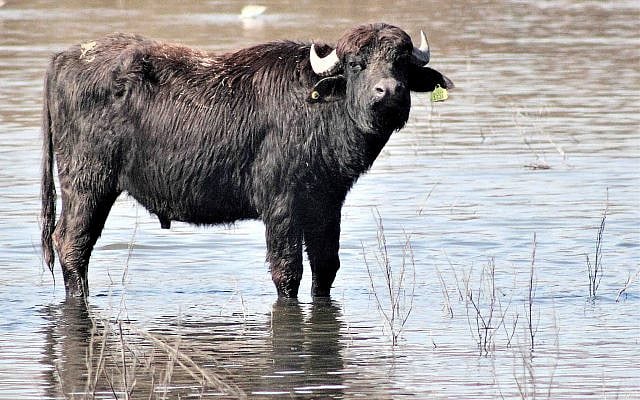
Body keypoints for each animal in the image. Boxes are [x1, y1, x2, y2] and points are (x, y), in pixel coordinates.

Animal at [41, 23, 453, 298]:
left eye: (401, 63)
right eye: (356, 64)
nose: (389, 92)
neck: (317, 108)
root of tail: (63, 59)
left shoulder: (326, 203)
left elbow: (325, 268)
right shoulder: (281, 205)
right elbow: (287, 271)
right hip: (87, 184)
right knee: (72, 244)